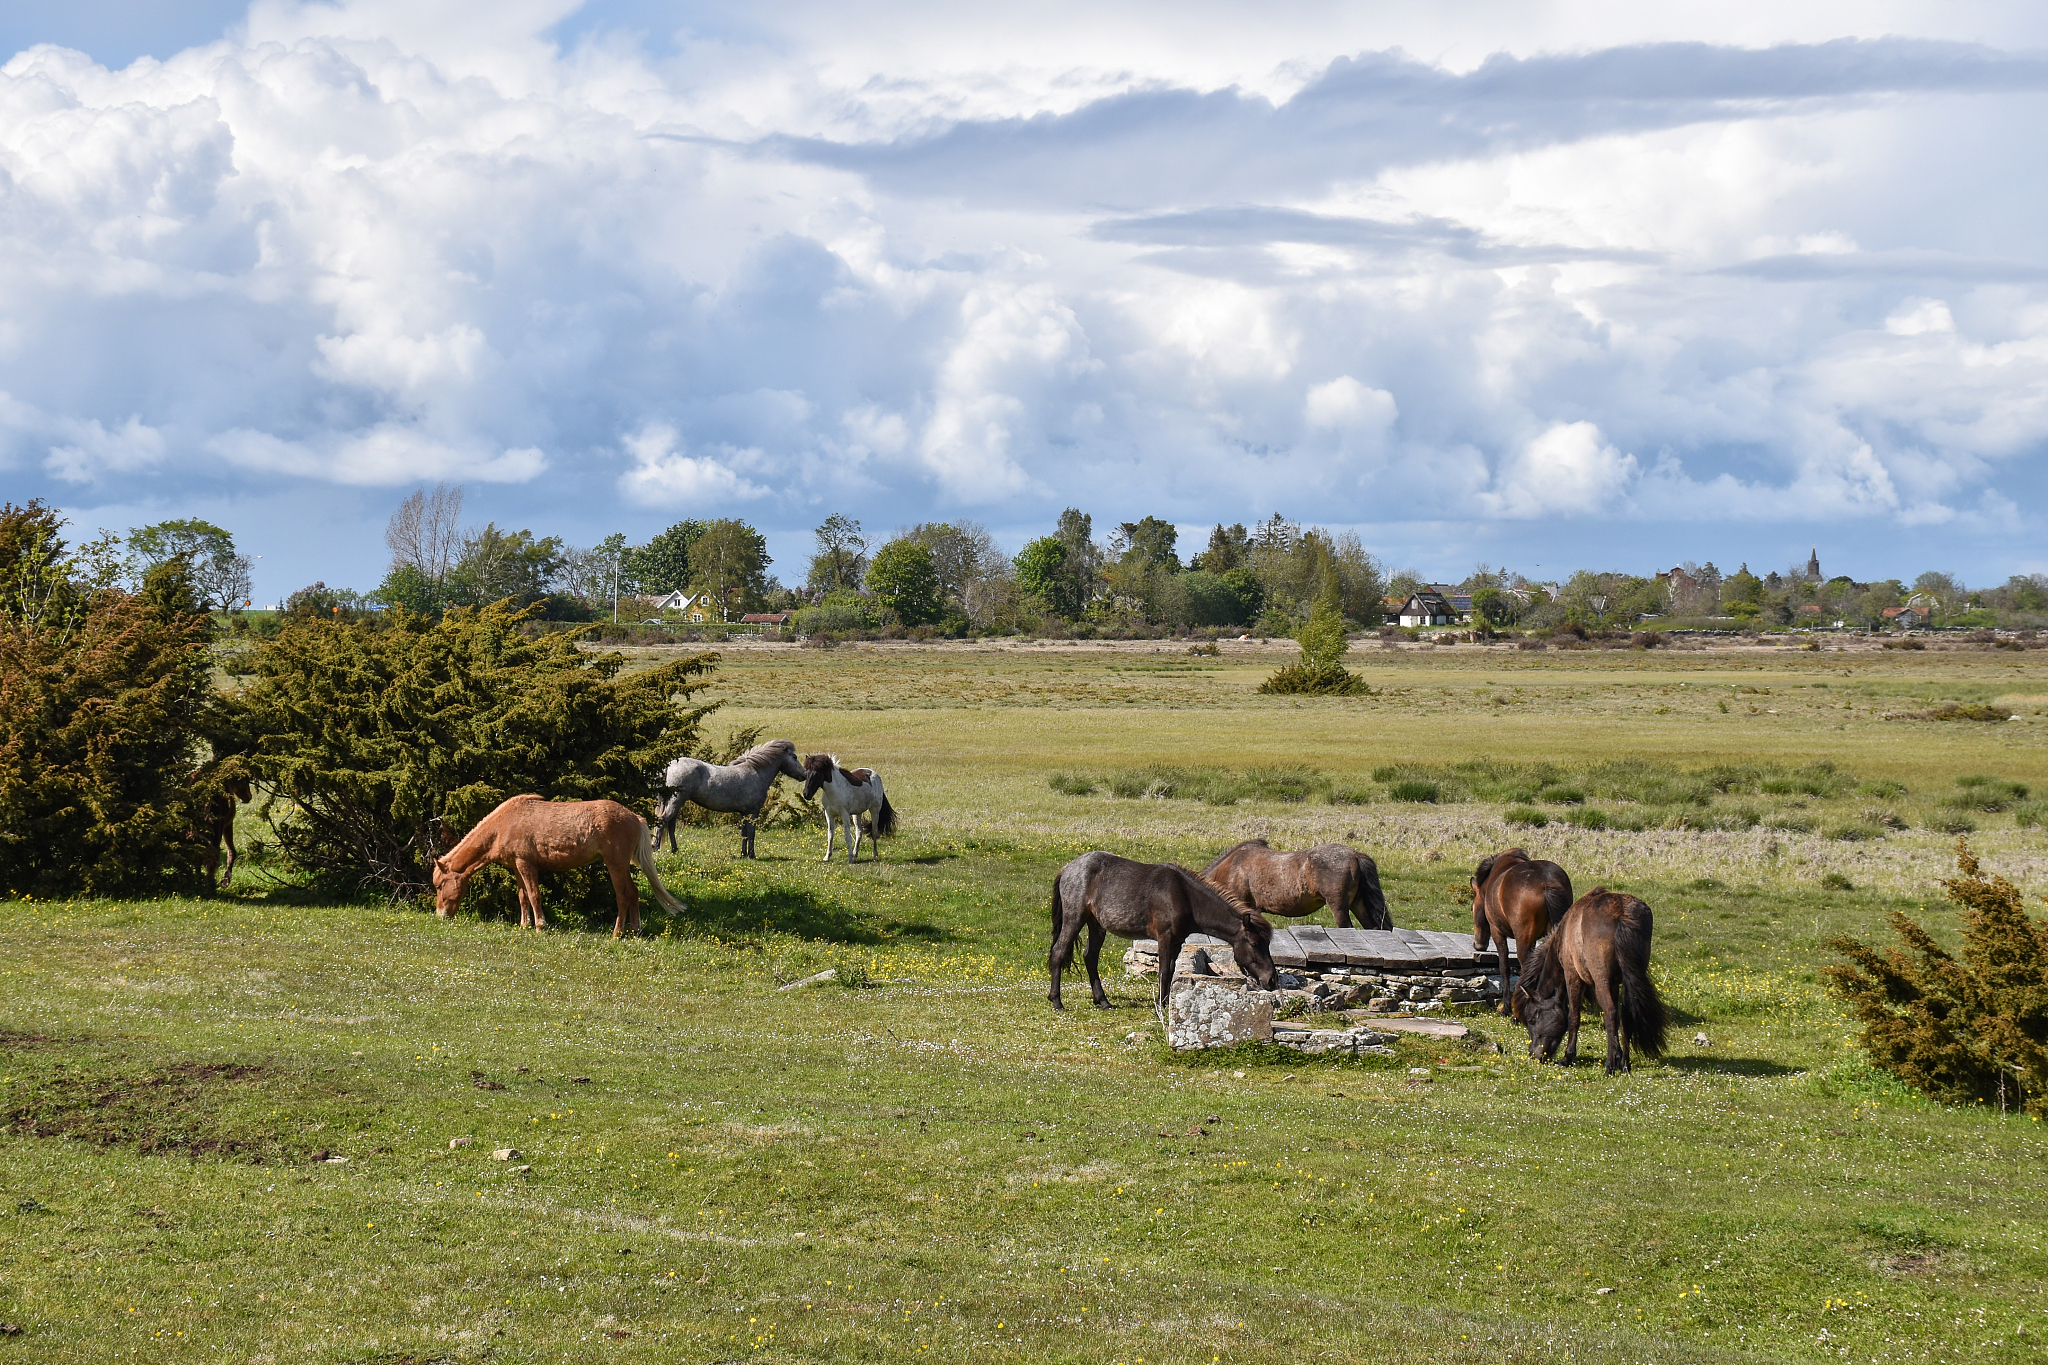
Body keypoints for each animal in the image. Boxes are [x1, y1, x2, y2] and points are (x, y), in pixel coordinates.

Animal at [431, 795, 686, 937]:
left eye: (440, 885)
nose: (440, 914)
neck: (504, 824)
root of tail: (634, 817)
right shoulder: (516, 867)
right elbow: (522, 896)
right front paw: (524, 925)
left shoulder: (526, 864)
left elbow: (534, 895)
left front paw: (540, 925)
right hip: (622, 866)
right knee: (633, 893)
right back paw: (635, 929)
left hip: (615, 864)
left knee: (622, 896)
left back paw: (616, 933)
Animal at [654, 739, 808, 852]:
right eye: (794, 757)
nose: (804, 775)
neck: (756, 772)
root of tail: (669, 766)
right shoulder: (753, 811)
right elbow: (751, 833)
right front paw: (751, 855)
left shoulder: (743, 812)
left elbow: (743, 833)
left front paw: (743, 854)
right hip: (676, 801)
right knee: (662, 820)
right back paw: (656, 847)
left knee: (670, 825)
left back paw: (675, 850)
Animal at [1048, 851, 1280, 1011]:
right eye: (1254, 944)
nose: (1272, 980)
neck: (1185, 897)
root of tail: (1068, 868)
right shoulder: (1165, 938)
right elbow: (1164, 971)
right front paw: (1161, 1005)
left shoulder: (1176, 941)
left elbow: (1171, 969)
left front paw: (1167, 1002)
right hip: (1075, 919)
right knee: (1059, 952)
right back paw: (1057, 1001)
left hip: (1096, 925)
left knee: (1090, 957)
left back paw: (1103, 1001)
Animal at [1471, 847, 1573, 1012]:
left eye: (1473, 907)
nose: (1478, 944)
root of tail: (1548, 882)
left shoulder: (1497, 932)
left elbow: (1504, 967)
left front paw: (1506, 1006)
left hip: (1523, 939)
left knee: (1526, 967)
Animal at [1510, 889, 1668, 1073]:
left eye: (1531, 1020)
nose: (1534, 1054)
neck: (1564, 934)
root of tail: (1621, 912)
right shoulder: (1615, 984)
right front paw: (1620, 1057)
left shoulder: (1572, 975)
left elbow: (1573, 1016)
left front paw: (1568, 1057)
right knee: (1625, 1016)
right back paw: (1624, 1064)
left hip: (1601, 983)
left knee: (1610, 1014)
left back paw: (1609, 1065)